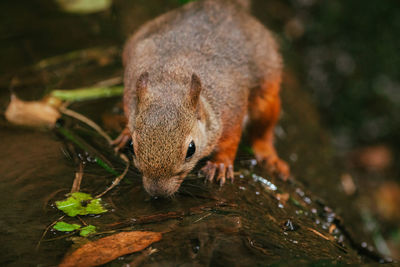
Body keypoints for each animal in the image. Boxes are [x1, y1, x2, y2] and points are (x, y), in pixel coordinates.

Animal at [114, 0, 290, 197]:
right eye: (132, 146)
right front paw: (124, 133)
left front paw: (220, 165)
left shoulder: (231, 110)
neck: (172, 77)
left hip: (266, 94)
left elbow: (230, 141)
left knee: (264, 130)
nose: (158, 192)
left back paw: (269, 156)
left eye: (191, 149)